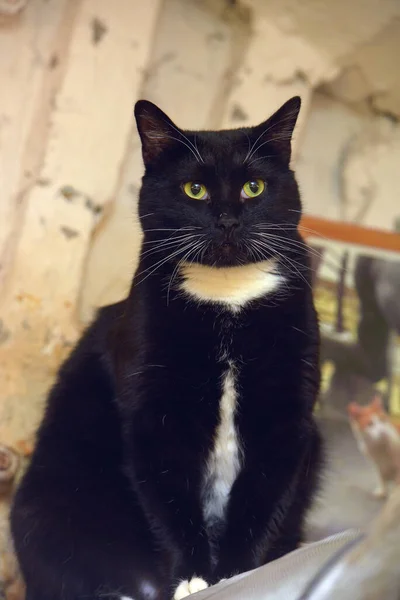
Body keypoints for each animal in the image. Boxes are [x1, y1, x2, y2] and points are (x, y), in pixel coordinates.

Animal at [10, 96, 324, 600]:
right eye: (195, 189)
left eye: (253, 187)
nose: (228, 220)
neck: (227, 298)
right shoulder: (154, 413)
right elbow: (168, 495)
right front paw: (193, 575)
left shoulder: (287, 412)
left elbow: (263, 497)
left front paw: (237, 574)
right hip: (52, 504)